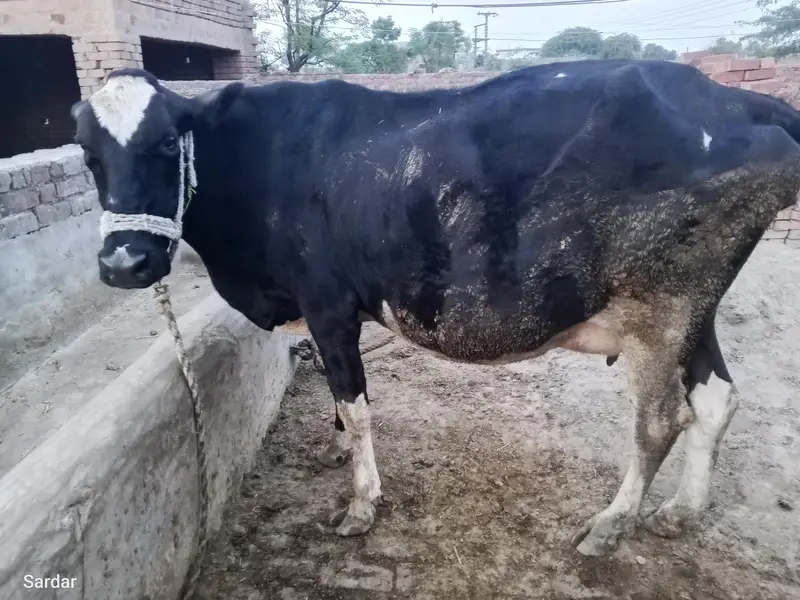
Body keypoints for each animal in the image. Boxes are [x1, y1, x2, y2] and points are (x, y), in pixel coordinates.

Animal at [70, 59, 800, 557]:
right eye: (86, 153)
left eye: (168, 143)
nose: (125, 263)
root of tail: (730, 98)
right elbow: (339, 400)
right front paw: (340, 455)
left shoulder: (328, 304)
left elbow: (357, 406)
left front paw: (362, 504)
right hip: (694, 311)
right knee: (716, 401)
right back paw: (681, 510)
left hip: (660, 307)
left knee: (660, 422)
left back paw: (610, 524)